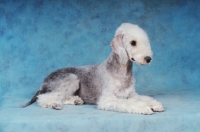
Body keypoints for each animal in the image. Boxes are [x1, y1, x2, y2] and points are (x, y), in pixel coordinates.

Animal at [23, 22, 164, 114]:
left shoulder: (131, 94)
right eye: (133, 42)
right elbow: (128, 103)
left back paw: (76, 100)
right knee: (45, 97)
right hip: (72, 79)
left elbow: (144, 98)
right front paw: (144, 108)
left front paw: (155, 105)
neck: (122, 71)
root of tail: (43, 83)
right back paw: (54, 104)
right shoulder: (108, 99)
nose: (148, 58)